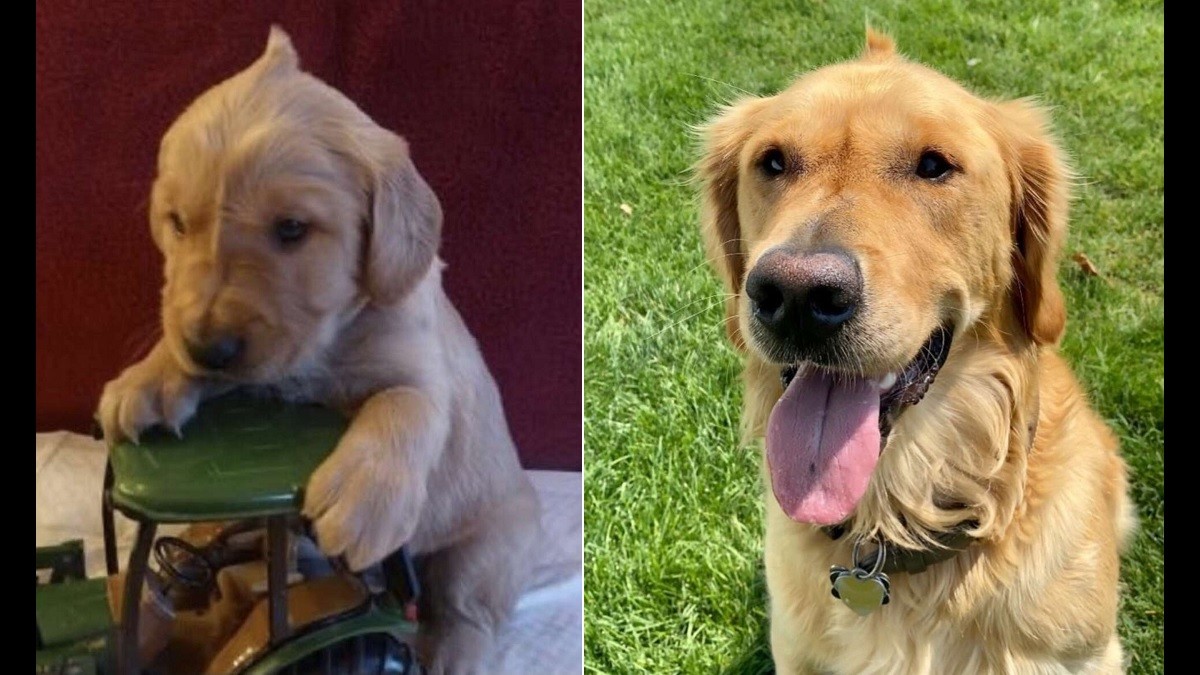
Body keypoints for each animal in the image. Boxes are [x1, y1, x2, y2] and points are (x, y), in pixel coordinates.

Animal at [98, 27, 540, 672]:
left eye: (291, 229)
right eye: (177, 223)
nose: (208, 348)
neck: (325, 344)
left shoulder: (421, 362)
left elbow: (408, 404)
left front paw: (360, 502)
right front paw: (149, 378)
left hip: (486, 549)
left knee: (468, 608)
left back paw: (451, 651)